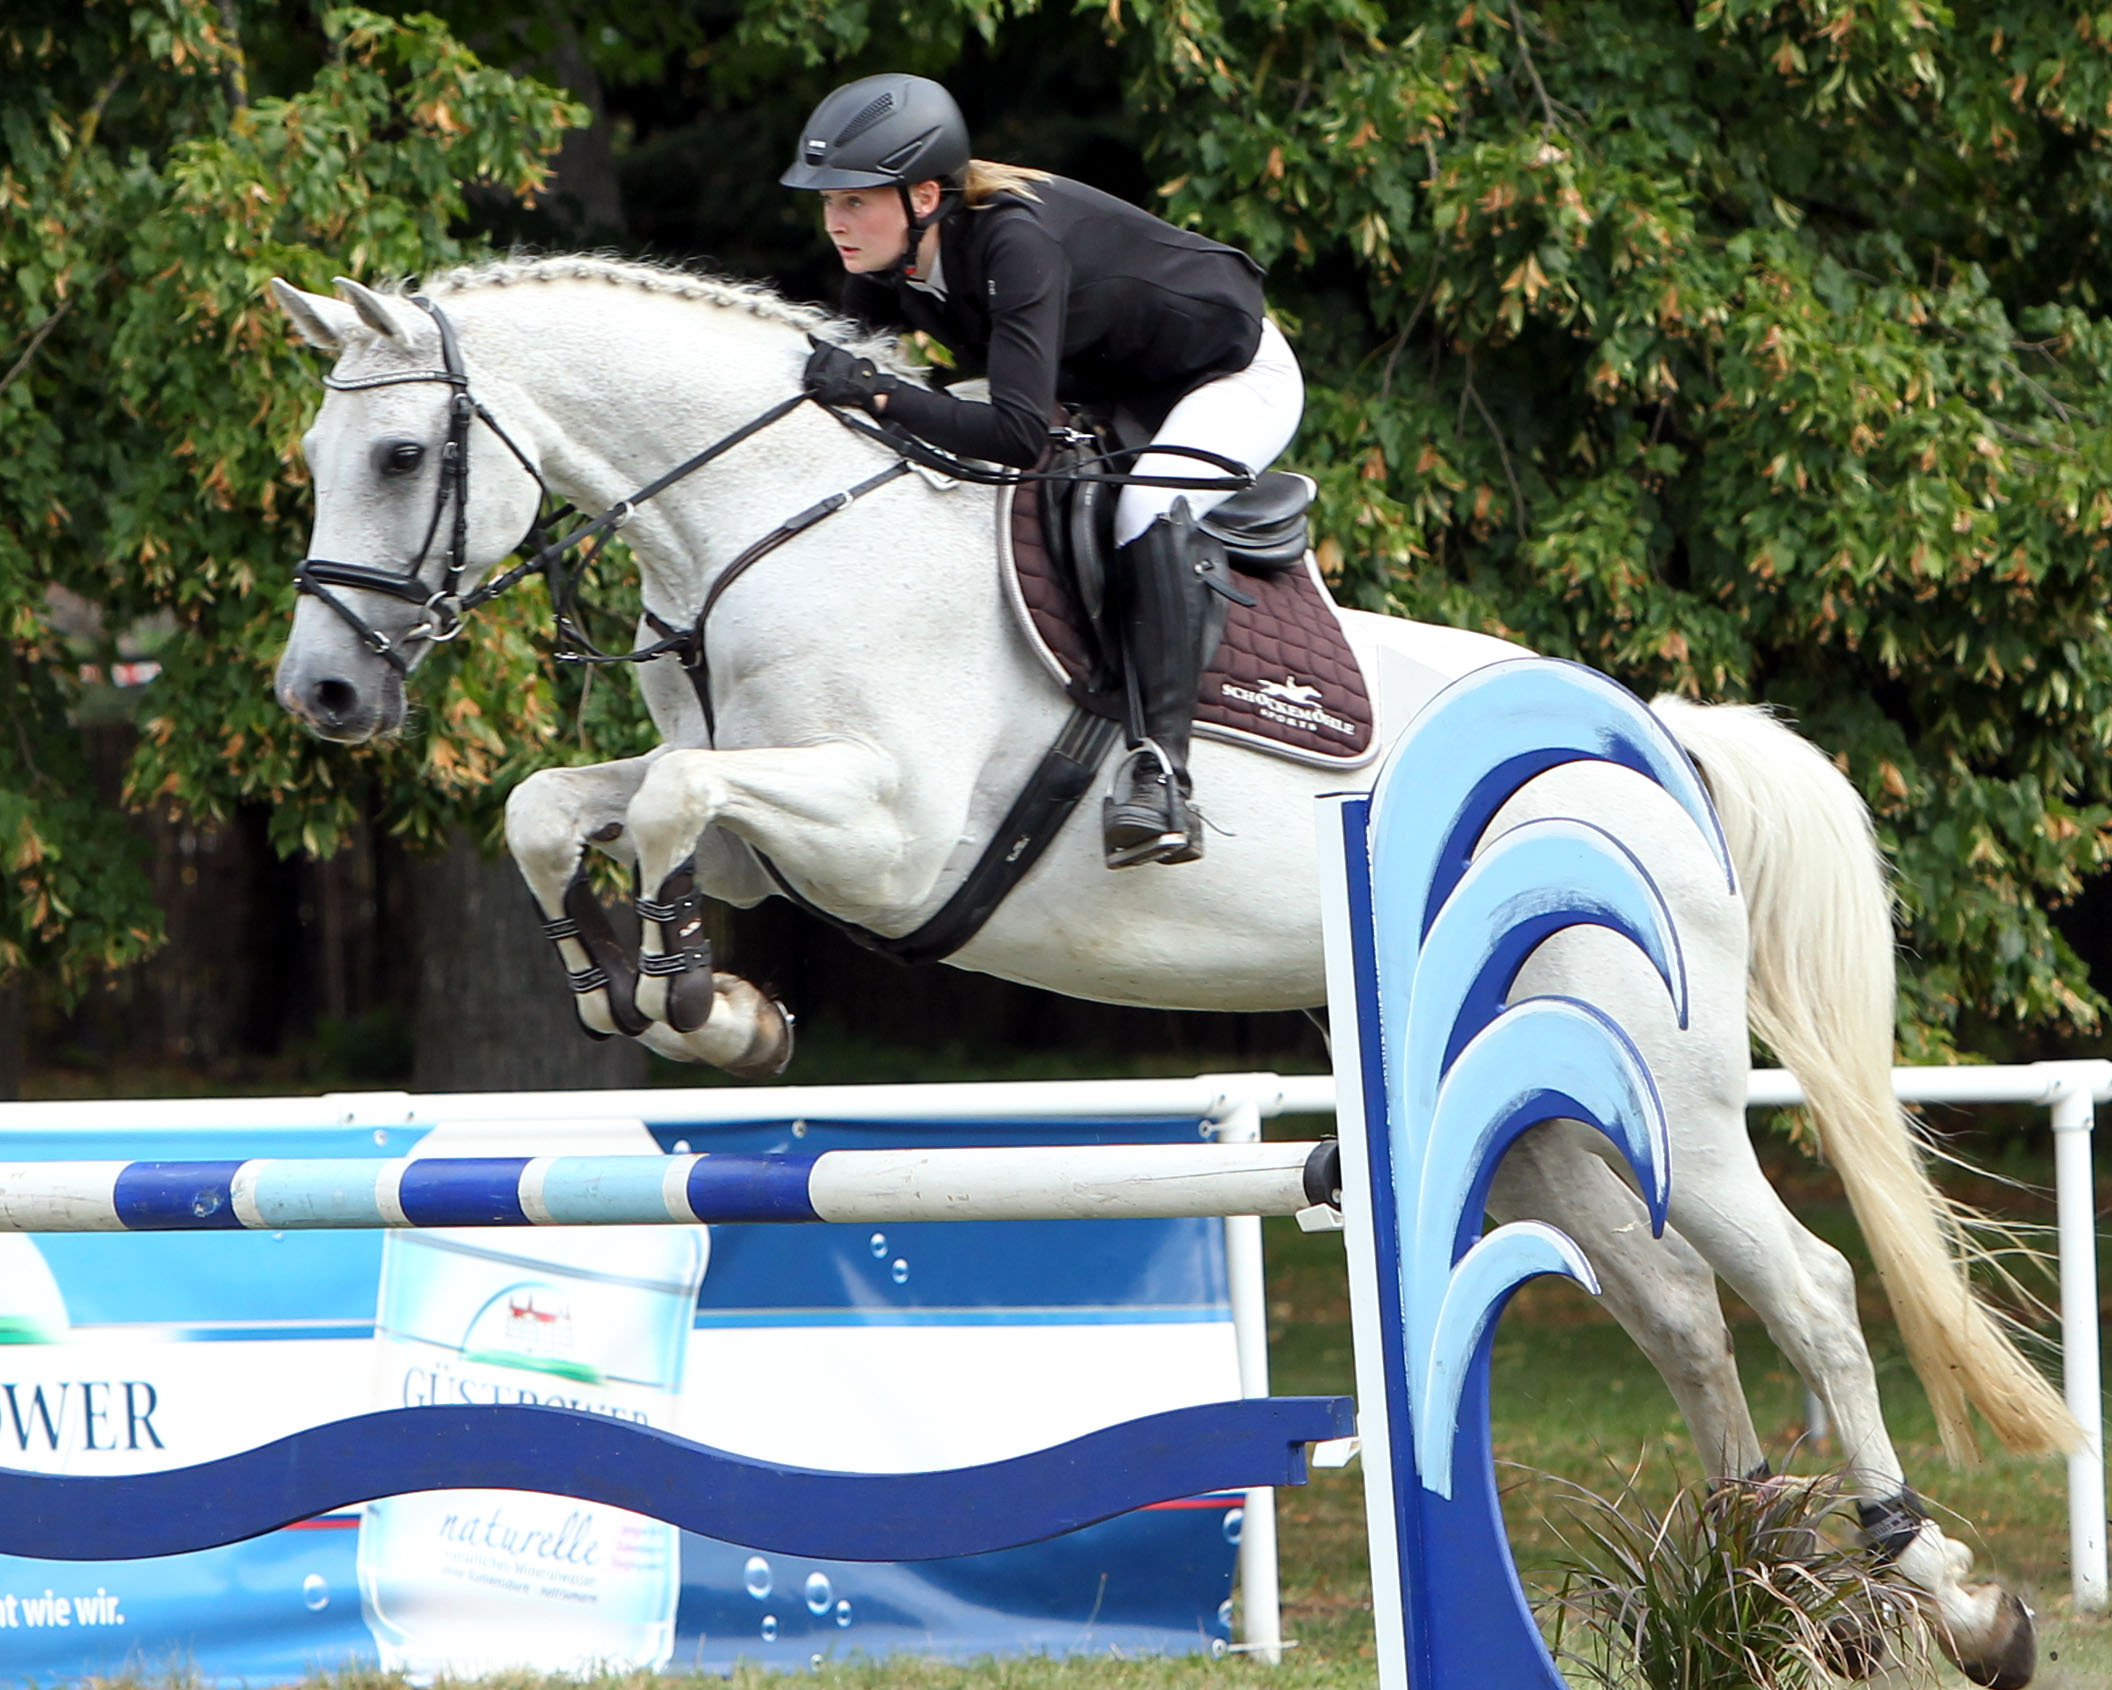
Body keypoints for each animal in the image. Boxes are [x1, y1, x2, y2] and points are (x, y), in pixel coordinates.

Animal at [272, 257, 2069, 1681]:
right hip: (1544, 1108)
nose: (323, 696)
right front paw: (671, 993)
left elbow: (658, 804)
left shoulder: (889, 831)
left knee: (1808, 1289)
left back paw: (1934, 1589)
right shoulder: (765, 833)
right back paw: (1766, 1593)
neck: (769, 530)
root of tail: (1658, 743)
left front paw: (691, 993)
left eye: (402, 453)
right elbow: (566, 805)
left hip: (1665, 1095)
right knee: (1684, 1312)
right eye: (313, 457)